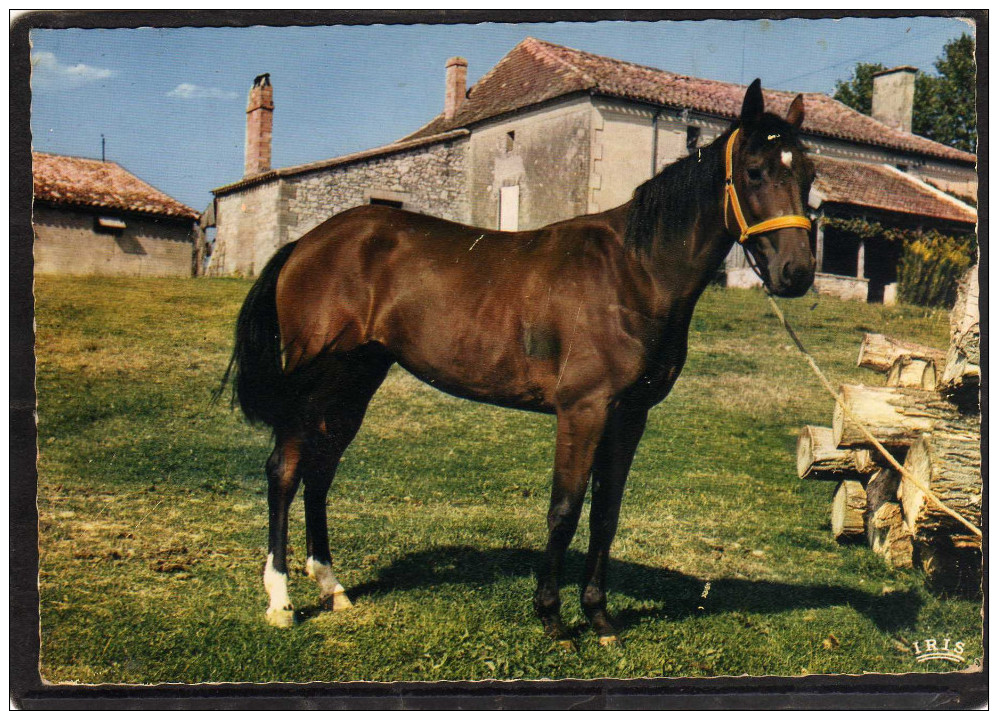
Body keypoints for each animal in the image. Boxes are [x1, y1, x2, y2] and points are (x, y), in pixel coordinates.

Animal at [221, 79, 820, 644]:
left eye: (809, 174)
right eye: (755, 171)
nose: (796, 273)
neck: (634, 272)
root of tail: (304, 244)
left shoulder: (630, 416)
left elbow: (606, 513)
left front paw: (599, 617)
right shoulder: (583, 411)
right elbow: (565, 507)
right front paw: (551, 615)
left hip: (356, 380)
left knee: (320, 470)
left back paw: (332, 586)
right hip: (314, 382)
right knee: (285, 470)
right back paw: (280, 601)